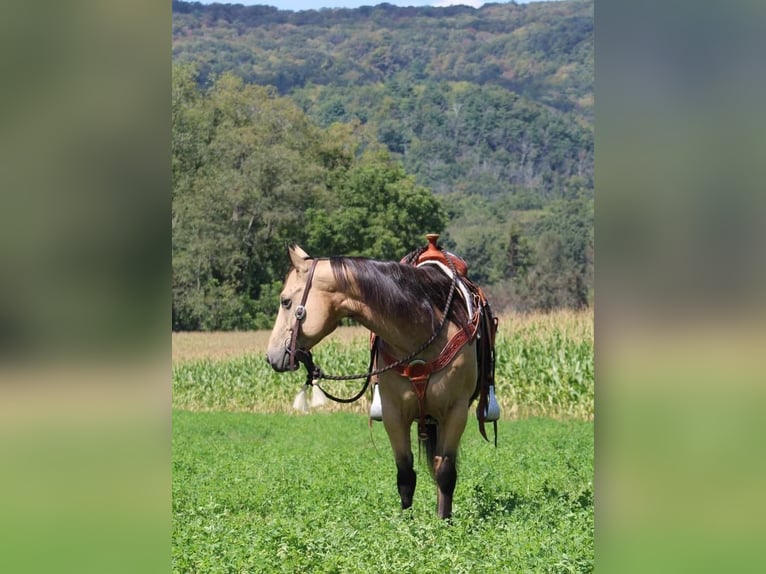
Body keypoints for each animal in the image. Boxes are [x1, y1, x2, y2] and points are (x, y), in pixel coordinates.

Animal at [268, 236, 500, 520]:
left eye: (285, 301)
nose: (272, 355)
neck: (423, 328)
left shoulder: (455, 412)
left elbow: (445, 472)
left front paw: (443, 521)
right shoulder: (393, 414)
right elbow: (406, 474)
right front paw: (407, 523)